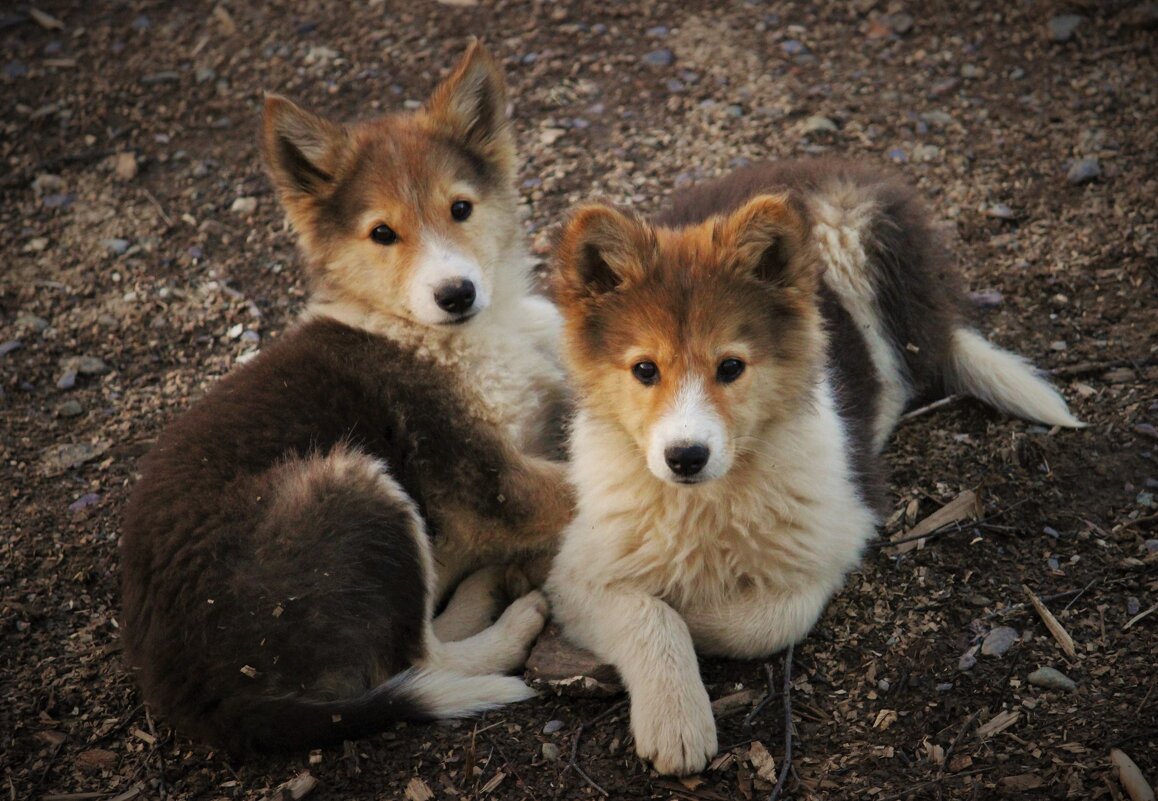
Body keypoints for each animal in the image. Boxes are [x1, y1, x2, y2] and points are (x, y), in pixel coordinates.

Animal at [546, 160, 1079, 777]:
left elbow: (762, 620)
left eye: (731, 367)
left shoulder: (838, 534)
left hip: (856, 224)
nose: (685, 457)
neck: (710, 497)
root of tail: (807, 165)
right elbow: (646, 616)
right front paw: (676, 721)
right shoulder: (578, 569)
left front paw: (694, 613)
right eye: (644, 369)